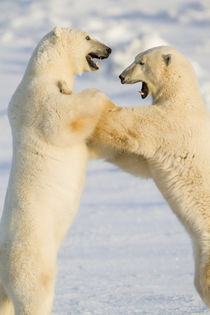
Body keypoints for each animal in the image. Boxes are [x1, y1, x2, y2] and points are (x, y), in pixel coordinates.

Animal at [0, 27, 115, 315]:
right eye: (88, 37)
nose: (109, 49)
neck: (44, 70)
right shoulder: (38, 99)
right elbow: (61, 117)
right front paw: (102, 97)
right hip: (32, 258)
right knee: (35, 294)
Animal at [91, 46, 210, 308]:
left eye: (141, 62)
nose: (121, 76)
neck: (182, 97)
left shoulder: (170, 123)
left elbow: (130, 126)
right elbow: (135, 162)